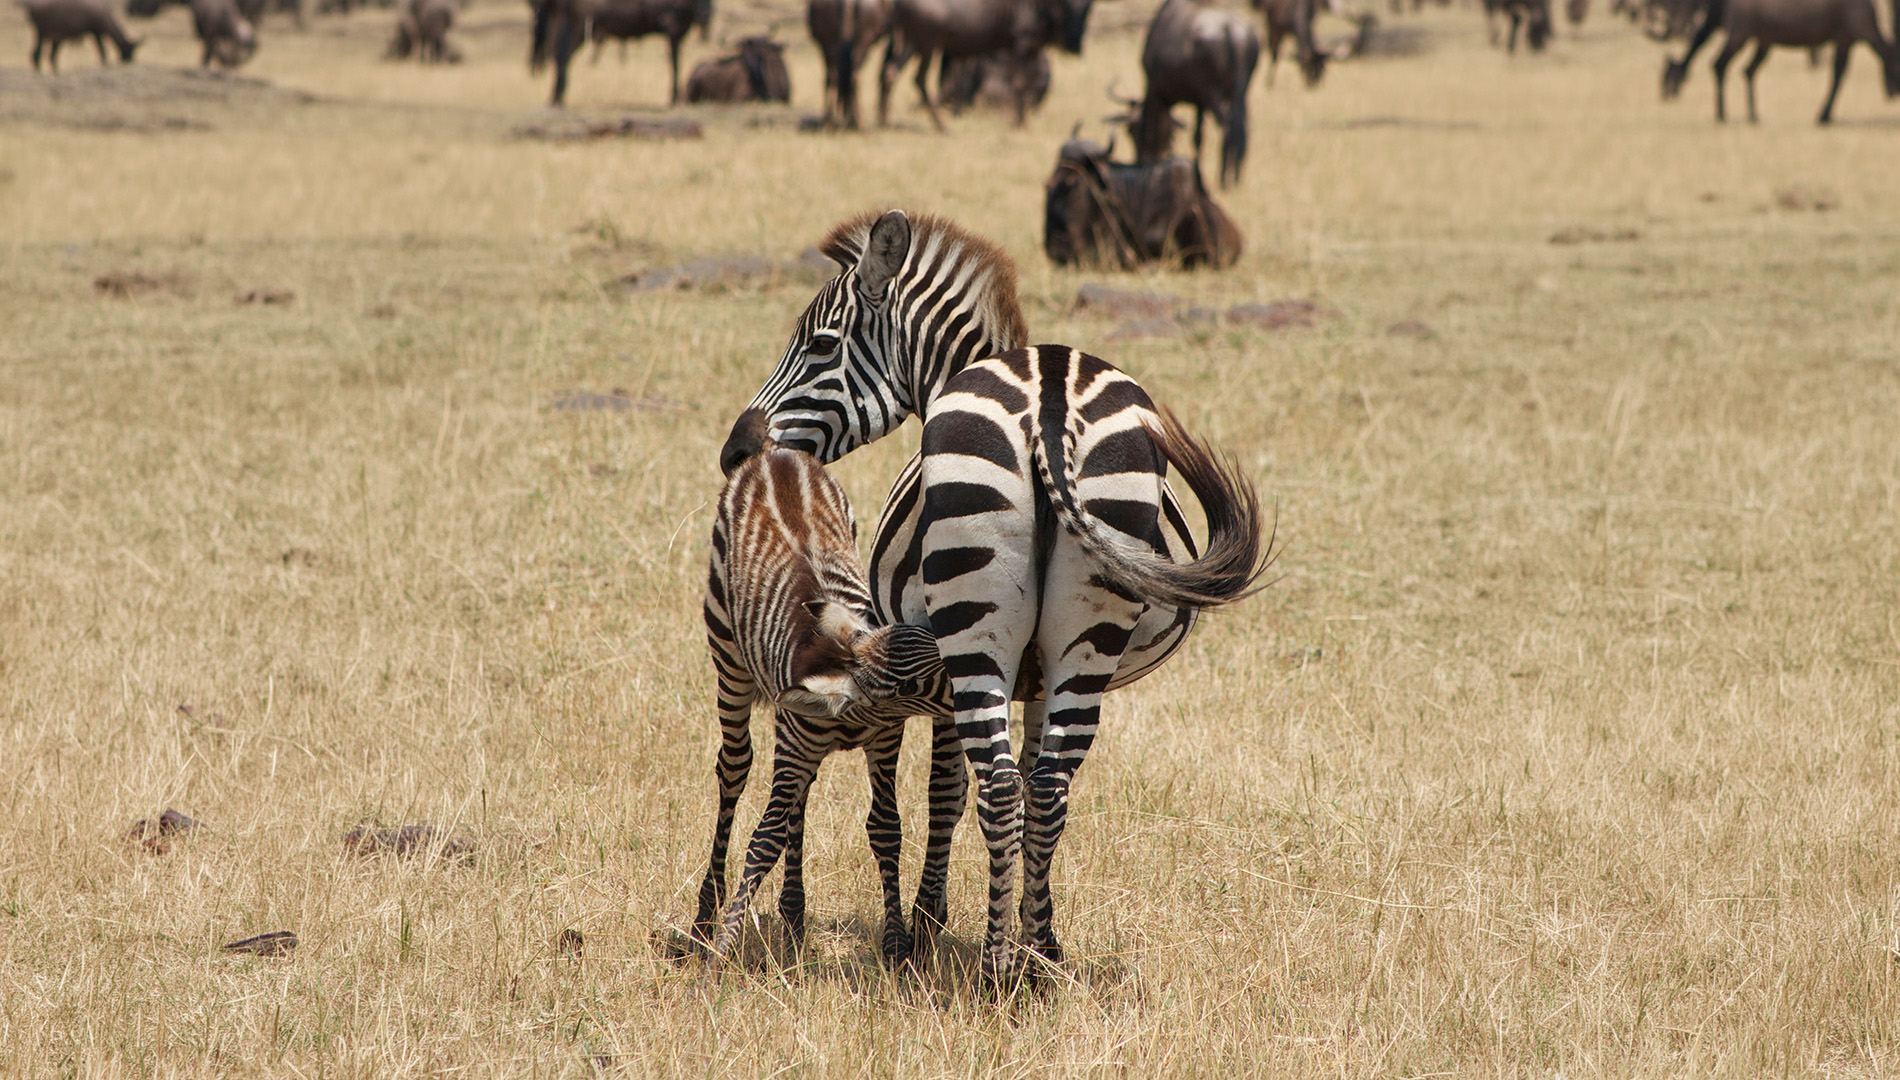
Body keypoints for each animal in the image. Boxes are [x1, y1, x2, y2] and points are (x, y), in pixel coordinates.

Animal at [695, 444, 947, 967]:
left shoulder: (883, 741)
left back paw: (793, 914)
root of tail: (774, 456)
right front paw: (720, 952)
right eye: (913, 683)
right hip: (727, 657)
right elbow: (764, 839)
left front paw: (896, 943)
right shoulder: (794, 745)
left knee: (800, 798)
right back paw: (705, 915)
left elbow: (886, 827)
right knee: (733, 770)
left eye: (926, 633)